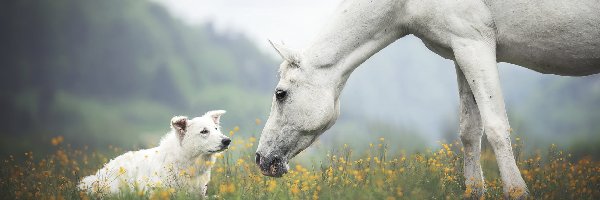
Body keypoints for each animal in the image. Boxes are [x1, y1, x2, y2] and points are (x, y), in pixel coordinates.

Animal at [254, 0, 600, 198]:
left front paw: (517, 192)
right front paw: (474, 191)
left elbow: (496, 126)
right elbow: (470, 132)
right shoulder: (462, 50)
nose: (261, 159)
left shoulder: (475, 44)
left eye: (281, 94)